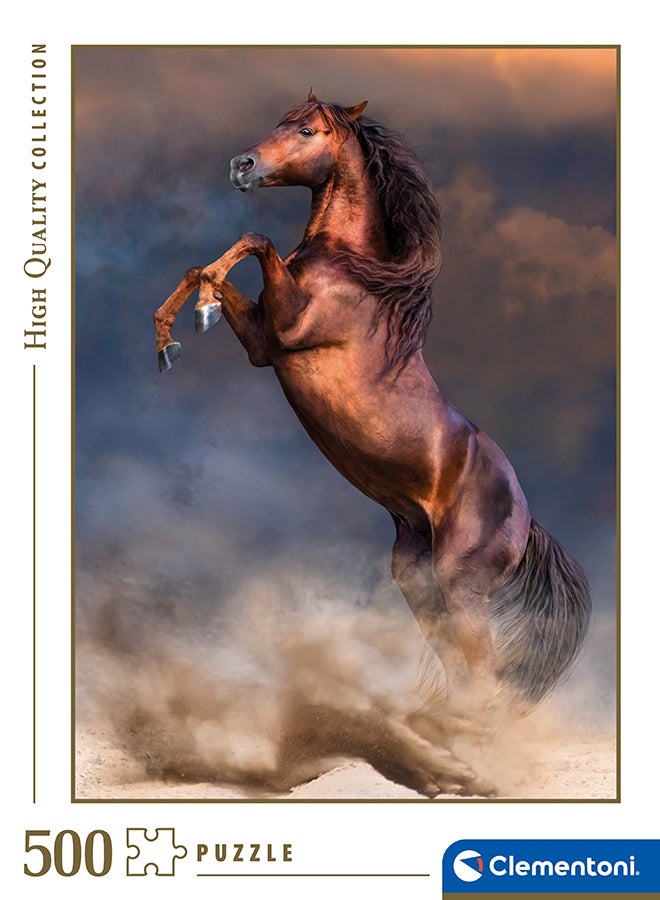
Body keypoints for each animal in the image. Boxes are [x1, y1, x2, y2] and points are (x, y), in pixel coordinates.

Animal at [152, 92, 591, 796]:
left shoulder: (287, 330)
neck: (351, 272)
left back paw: (467, 764)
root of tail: (526, 520)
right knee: (464, 672)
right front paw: (174, 333)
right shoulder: (264, 345)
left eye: (307, 130)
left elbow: (255, 239)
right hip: (419, 580)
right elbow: (209, 266)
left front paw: (196, 315)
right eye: (279, 121)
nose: (241, 165)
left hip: (461, 585)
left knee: (485, 672)